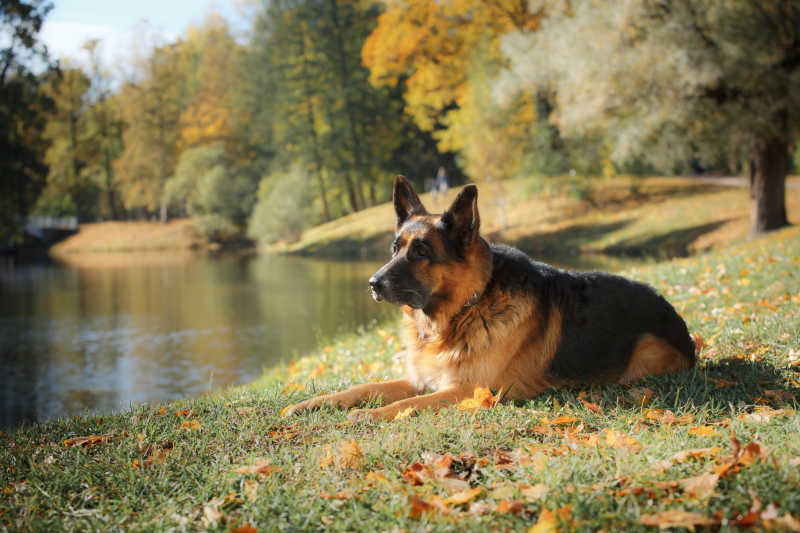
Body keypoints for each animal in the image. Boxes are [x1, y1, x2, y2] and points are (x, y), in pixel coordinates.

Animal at [282, 176, 692, 420]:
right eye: (395, 249)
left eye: (420, 252)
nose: (373, 283)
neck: (466, 308)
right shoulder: (421, 380)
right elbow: (362, 388)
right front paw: (309, 405)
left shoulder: (466, 390)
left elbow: (407, 405)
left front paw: (367, 415)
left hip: (644, 357)